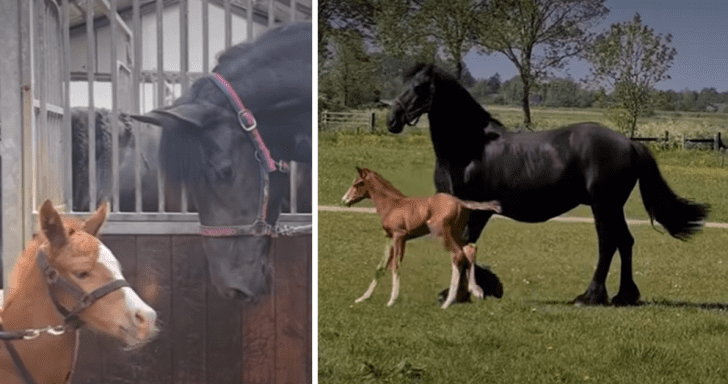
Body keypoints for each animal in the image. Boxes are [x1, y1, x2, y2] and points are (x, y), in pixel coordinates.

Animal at [342, 166, 500, 308]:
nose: (345, 200)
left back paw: (448, 302)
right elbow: (381, 267)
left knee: (457, 255)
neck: (392, 205)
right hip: (456, 233)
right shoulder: (390, 237)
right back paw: (476, 291)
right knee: (469, 250)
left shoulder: (399, 236)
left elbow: (396, 265)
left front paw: (392, 300)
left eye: (357, 184)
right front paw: (363, 298)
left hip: (443, 234)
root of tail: (462, 202)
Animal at [390, 65, 708, 306]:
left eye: (420, 87)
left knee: (608, 244)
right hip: (609, 206)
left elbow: (465, 246)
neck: (469, 148)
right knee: (624, 242)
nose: (392, 119)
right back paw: (623, 296)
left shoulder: (479, 210)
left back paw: (590, 297)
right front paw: (480, 287)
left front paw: (471, 290)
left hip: (604, 205)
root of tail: (630, 144)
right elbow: (463, 246)